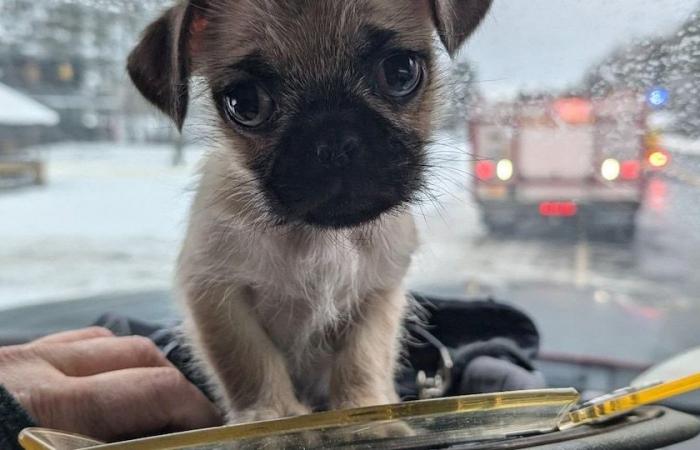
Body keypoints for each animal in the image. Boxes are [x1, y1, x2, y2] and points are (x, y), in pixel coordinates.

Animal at [129, 0, 490, 424]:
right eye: (244, 103)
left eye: (400, 72)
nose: (333, 141)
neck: (319, 235)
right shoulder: (216, 293)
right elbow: (249, 360)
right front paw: (272, 414)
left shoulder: (378, 294)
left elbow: (362, 357)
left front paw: (365, 411)